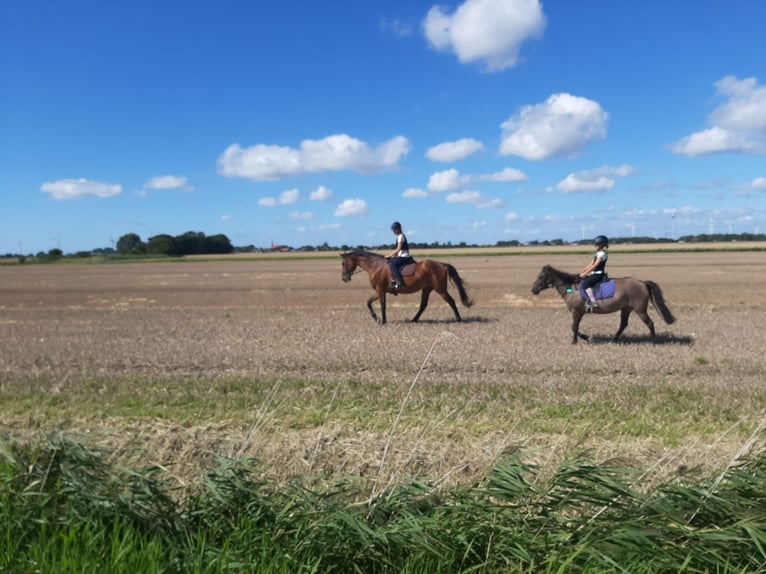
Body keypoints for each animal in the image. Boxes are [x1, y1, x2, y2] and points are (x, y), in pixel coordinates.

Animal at [342, 251, 474, 326]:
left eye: (343, 263)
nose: (344, 278)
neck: (375, 266)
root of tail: (442, 264)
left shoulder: (380, 289)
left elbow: (382, 305)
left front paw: (382, 321)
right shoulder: (379, 291)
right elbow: (368, 302)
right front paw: (377, 319)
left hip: (440, 289)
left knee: (451, 301)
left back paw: (458, 319)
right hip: (427, 289)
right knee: (423, 305)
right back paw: (414, 320)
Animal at [536, 266, 680, 344]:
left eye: (541, 276)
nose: (533, 290)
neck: (571, 287)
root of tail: (642, 282)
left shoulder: (577, 312)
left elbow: (574, 327)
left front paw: (577, 340)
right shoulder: (578, 312)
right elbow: (574, 328)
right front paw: (584, 338)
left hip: (640, 309)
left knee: (649, 323)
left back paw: (653, 341)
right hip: (626, 309)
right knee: (623, 324)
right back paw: (614, 339)